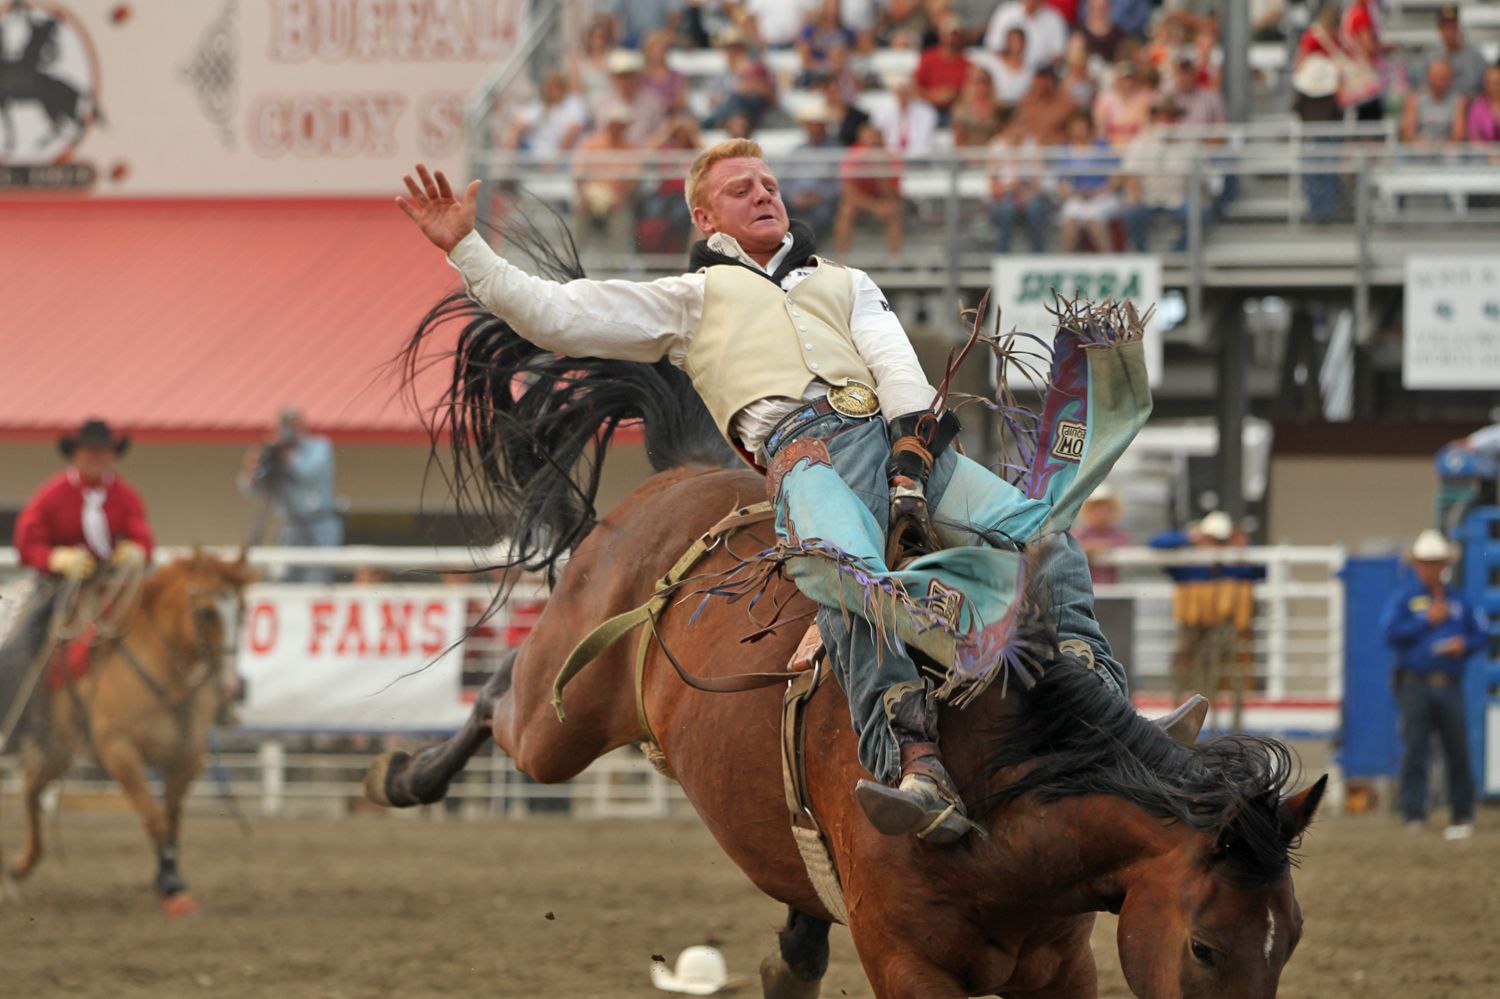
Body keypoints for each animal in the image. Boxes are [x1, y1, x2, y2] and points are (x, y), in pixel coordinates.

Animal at [0, 552, 249, 912]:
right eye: (207, 612)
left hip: (58, 749)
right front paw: (171, 886)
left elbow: (170, 820)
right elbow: (153, 817)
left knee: (32, 790)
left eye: (242, 610)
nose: (232, 686)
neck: (163, 667)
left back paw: (18, 869)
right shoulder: (119, 750)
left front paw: (168, 879)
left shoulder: (187, 756)